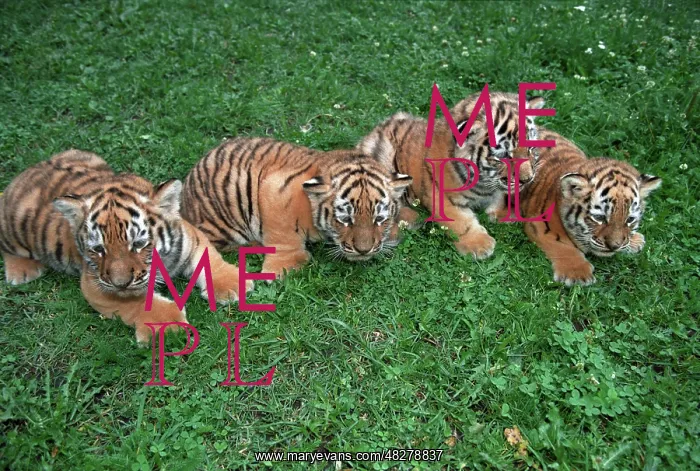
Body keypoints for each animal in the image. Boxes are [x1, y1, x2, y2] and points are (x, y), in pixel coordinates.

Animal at [0, 150, 249, 343]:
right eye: (98, 249)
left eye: (138, 244)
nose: (120, 282)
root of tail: (27, 172)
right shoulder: (96, 284)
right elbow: (135, 302)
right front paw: (168, 324)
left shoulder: (190, 235)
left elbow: (210, 259)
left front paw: (233, 286)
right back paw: (22, 271)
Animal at [180, 137, 412, 277]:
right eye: (345, 219)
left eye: (379, 219)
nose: (364, 250)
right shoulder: (273, 190)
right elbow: (283, 235)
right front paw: (284, 267)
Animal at [358, 91, 546, 259]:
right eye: (505, 156)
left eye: (530, 148)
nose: (527, 180)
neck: (485, 182)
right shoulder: (442, 196)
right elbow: (461, 222)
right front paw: (479, 244)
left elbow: (499, 197)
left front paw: (504, 213)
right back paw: (411, 219)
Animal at [511, 129, 662, 286]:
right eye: (599, 217)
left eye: (630, 219)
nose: (614, 246)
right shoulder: (541, 225)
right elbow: (562, 245)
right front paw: (577, 274)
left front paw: (635, 240)